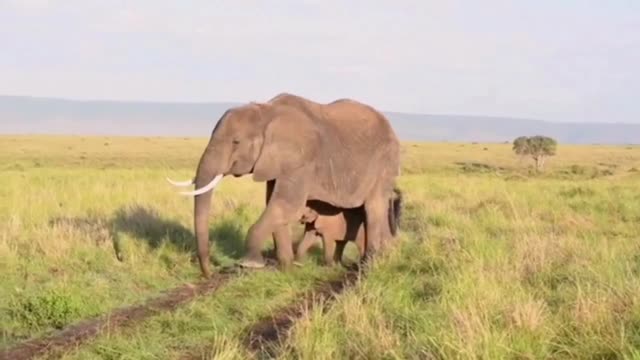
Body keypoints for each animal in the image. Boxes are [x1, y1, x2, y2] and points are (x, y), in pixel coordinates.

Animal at [170, 93, 400, 278]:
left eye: (236, 142)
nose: (209, 273)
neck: (266, 111)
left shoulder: (300, 160)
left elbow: (286, 205)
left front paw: (250, 264)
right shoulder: (275, 163)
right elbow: (275, 205)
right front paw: (287, 269)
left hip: (384, 162)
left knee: (373, 208)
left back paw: (370, 265)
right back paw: (386, 256)